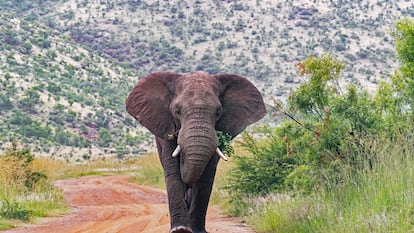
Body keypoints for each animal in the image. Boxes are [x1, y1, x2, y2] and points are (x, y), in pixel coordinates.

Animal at [125, 71, 266, 233]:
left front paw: (197, 231)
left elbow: (206, 175)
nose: (184, 158)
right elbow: (173, 172)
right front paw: (180, 230)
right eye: (177, 111)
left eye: (218, 112)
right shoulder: (166, 127)